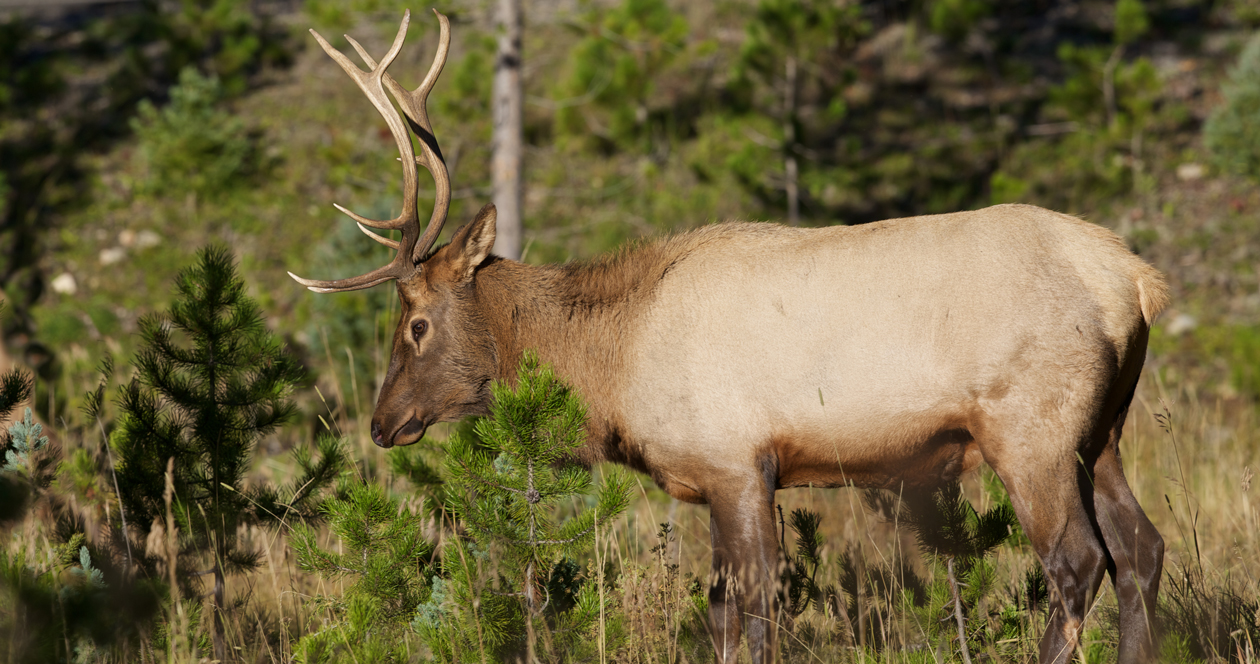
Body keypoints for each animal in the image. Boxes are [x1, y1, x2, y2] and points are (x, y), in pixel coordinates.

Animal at [294, 11, 1169, 664]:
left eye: (415, 324)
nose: (382, 423)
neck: (610, 366)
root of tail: (1133, 279)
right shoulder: (729, 474)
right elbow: (722, 614)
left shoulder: (736, 461)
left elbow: (750, 611)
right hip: (1103, 430)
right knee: (1142, 551)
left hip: (1031, 429)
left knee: (1078, 563)